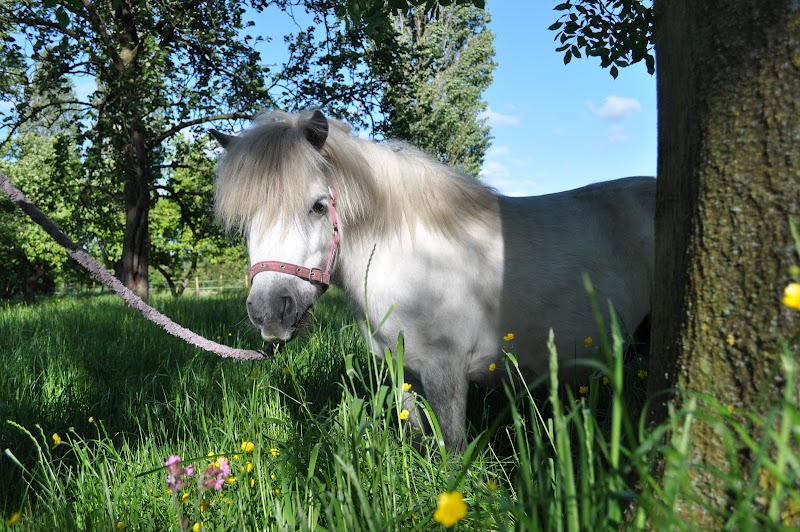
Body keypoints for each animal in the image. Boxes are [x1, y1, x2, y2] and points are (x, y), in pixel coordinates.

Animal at [210, 109, 655, 451]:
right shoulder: (404, 371)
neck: (412, 258)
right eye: (245, 221)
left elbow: (452, 449)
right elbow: (422, 439)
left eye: (318, 206)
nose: (270, 311)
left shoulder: (446, 373)